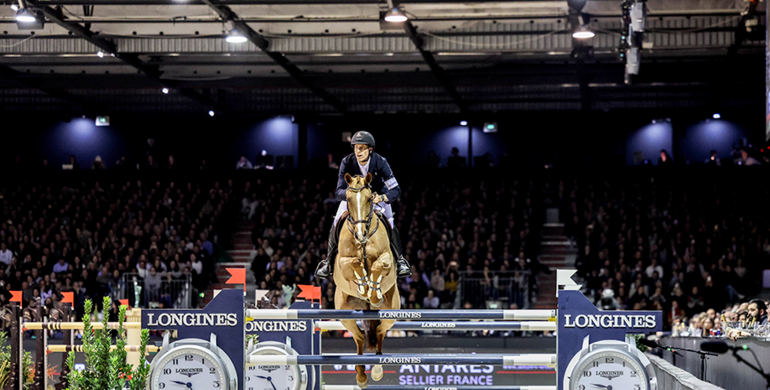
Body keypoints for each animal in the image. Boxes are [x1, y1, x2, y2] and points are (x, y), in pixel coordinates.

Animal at [332, 174, 400, 390]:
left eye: (370, 199)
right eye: (348, 199)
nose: (360, 235)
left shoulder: (387, 259)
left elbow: (379, 265)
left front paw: (373, 293)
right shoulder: (342, 263)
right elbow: (353, 262)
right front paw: (363, 287)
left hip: (392, 312)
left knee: (379, 332)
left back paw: (377, 370)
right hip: (344, 313)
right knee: (360, 337)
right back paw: (361, 377)